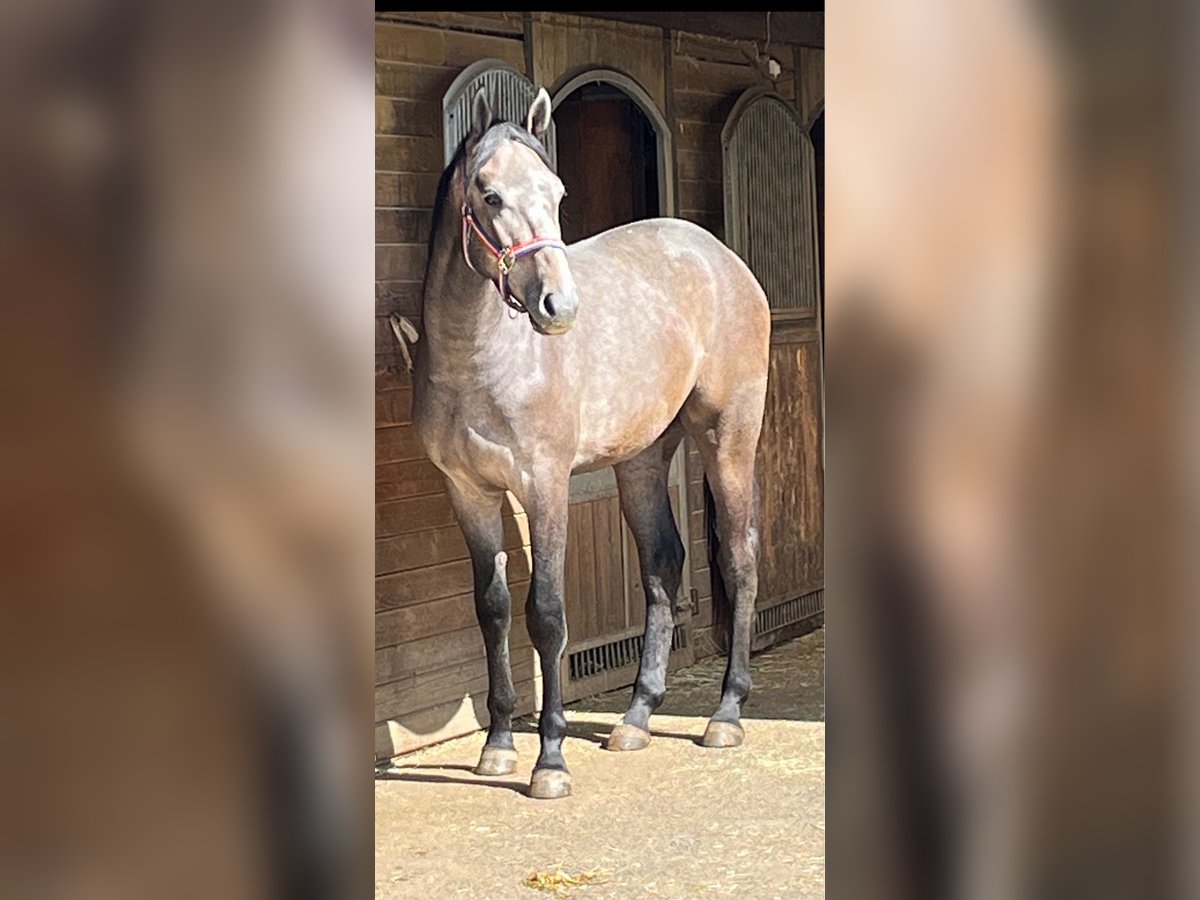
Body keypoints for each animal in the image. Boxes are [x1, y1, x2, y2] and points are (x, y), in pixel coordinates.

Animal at [412, 88, 768, 801]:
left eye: (556, 192)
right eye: (490, 196)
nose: (559, 307)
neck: (477, 360)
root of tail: (723, 260)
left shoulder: (544, 485)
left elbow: (547, 614)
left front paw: (549, 761)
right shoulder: (468, 493)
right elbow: (493, 609)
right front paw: (497, 747)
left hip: (728, 437)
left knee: (738, 556)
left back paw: (725, 714)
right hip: (641, 459)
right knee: (662, 563)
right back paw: (635, 717)